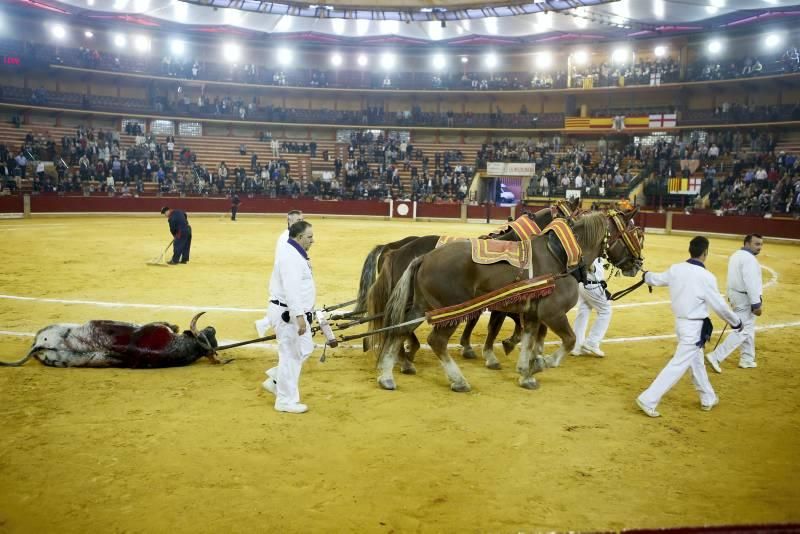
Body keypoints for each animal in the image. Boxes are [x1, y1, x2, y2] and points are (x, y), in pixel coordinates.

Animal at [372, 210, 640, 394]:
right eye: (634, 234)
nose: (637, 264)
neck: (560, 256)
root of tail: (423, 257)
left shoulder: (532, 314)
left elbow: (528, 339)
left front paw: (526, 373)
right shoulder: (552, 313)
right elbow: (568, 340)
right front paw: (541, 363)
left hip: (421, 307)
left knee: (398, 331)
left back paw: (387, 375)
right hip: (450, 311)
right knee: (436, 341)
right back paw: (458, 380)